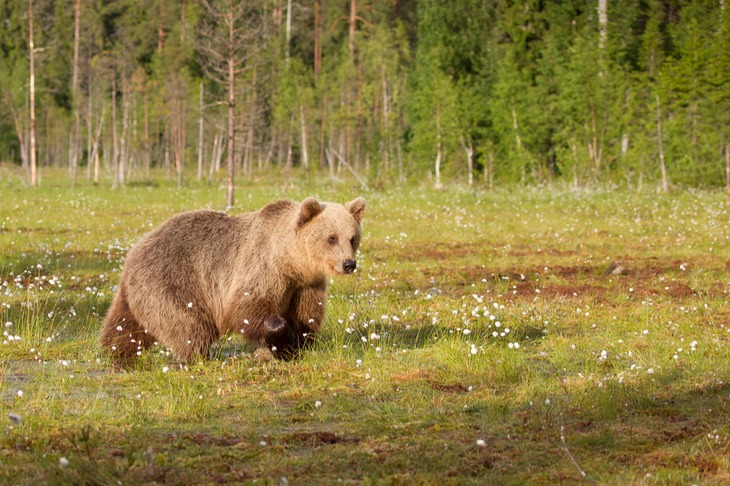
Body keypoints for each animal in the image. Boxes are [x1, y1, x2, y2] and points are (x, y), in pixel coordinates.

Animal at [99, 196, 364, 360]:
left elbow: (306, 317)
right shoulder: (261, 269)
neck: (290, 262)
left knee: (124, 327)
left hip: (138, 294)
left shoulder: (305, 284)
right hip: (172, 282)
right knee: (189, 325)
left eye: (352, 238)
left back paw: (113, 350)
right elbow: (246, 308)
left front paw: (296, 346)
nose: (349, 264)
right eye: (331, 238)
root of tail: (132, 253)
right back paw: (198, 356)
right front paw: (281, 341)